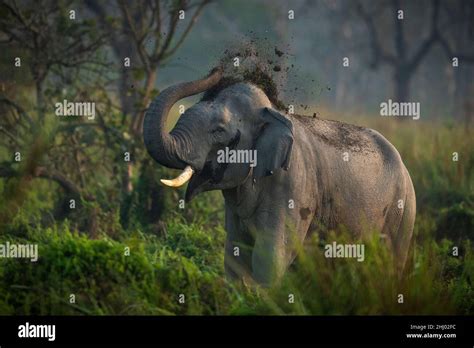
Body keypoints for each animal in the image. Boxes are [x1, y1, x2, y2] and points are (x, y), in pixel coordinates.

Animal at [143, 67, 416, 286]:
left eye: (219, 131)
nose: (218, 73)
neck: (272, 111)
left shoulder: (293, 187)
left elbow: (270, 256)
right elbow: (236, 255)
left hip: (402, 211)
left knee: (390, 262)